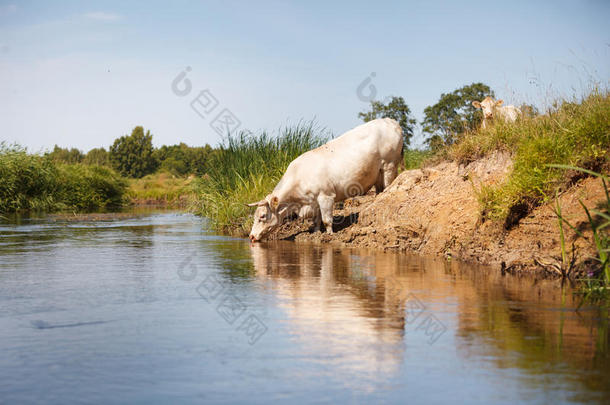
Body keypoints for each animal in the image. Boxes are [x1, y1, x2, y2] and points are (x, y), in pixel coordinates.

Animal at [245, 118, 402, 241]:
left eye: (262, 216)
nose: (251, 236)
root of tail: (390, 121)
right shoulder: (314, 202)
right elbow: (316, 220)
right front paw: (315, 234)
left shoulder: (326, 196)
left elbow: (327, 220)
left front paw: (329, 235)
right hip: (379, 174)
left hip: (389, 165)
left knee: (388, 186)